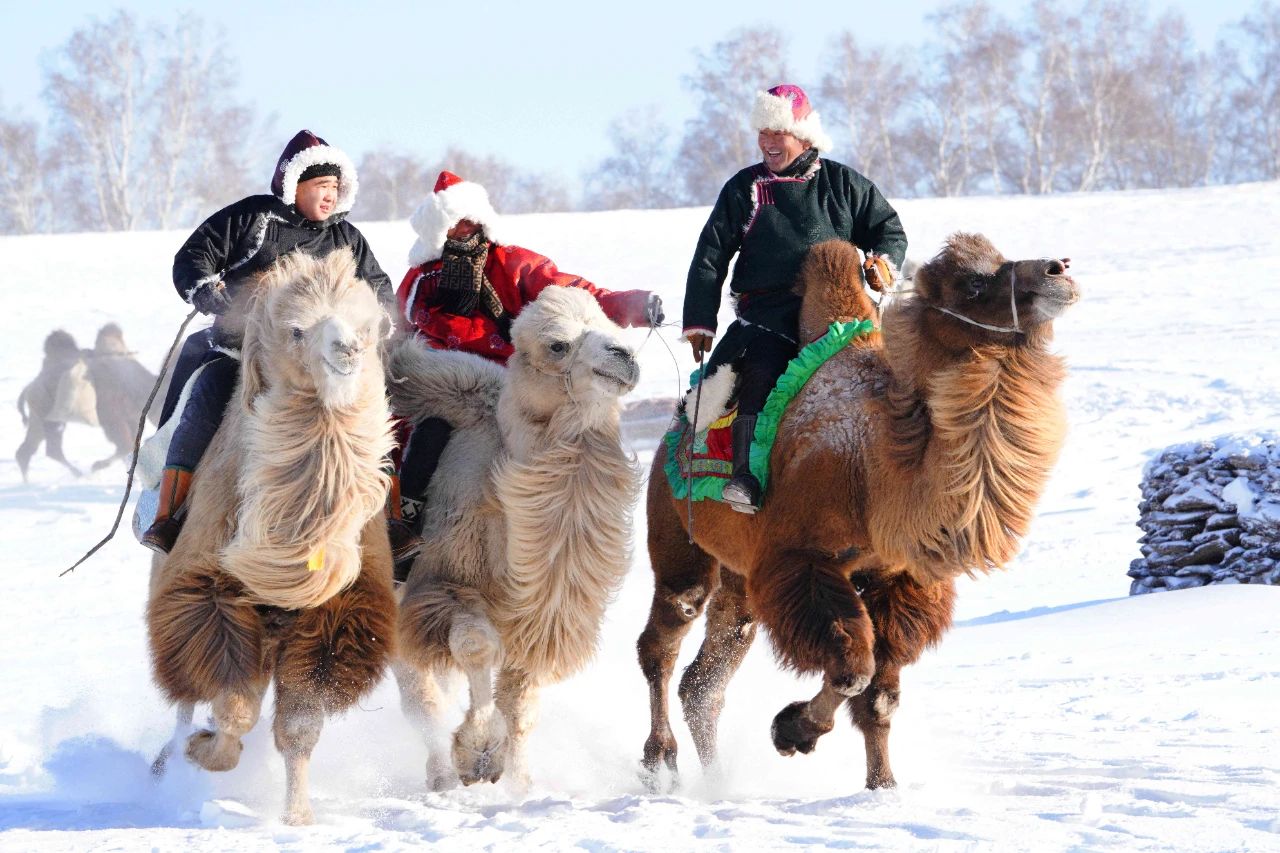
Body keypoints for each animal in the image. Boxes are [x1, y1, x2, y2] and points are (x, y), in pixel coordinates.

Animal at [144, 247, 399, 824]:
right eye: (297, 330)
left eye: (369, 326)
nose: (347, 350)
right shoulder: (209, 592)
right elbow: (231, 706)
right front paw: (203, 752)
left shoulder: (334, 616)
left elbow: (299, 728)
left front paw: (297, 817)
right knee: (183, 689)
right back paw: (168, 759)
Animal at [386, 285, 640, 788]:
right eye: (557, 345)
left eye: (613, 325)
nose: (625, 356)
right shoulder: (441, 589)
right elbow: (475, 646)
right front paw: (478, 752)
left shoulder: (540, 618)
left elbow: (521, 705)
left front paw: (519, 782)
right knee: (421, 701)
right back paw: (441, 776)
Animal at [634, 234, 1075, 788]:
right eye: (973, 284)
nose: (1059, 269)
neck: (876, 468)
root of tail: (669, 433)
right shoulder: (800, 559)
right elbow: (852, 670)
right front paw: (791, 731)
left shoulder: (897, 577)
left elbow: (878, 696)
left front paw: (882, 786)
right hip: (679, 540)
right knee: (665, 640)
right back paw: (660, 762)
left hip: (741, 581)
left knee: (704, 681)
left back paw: (716, 781)